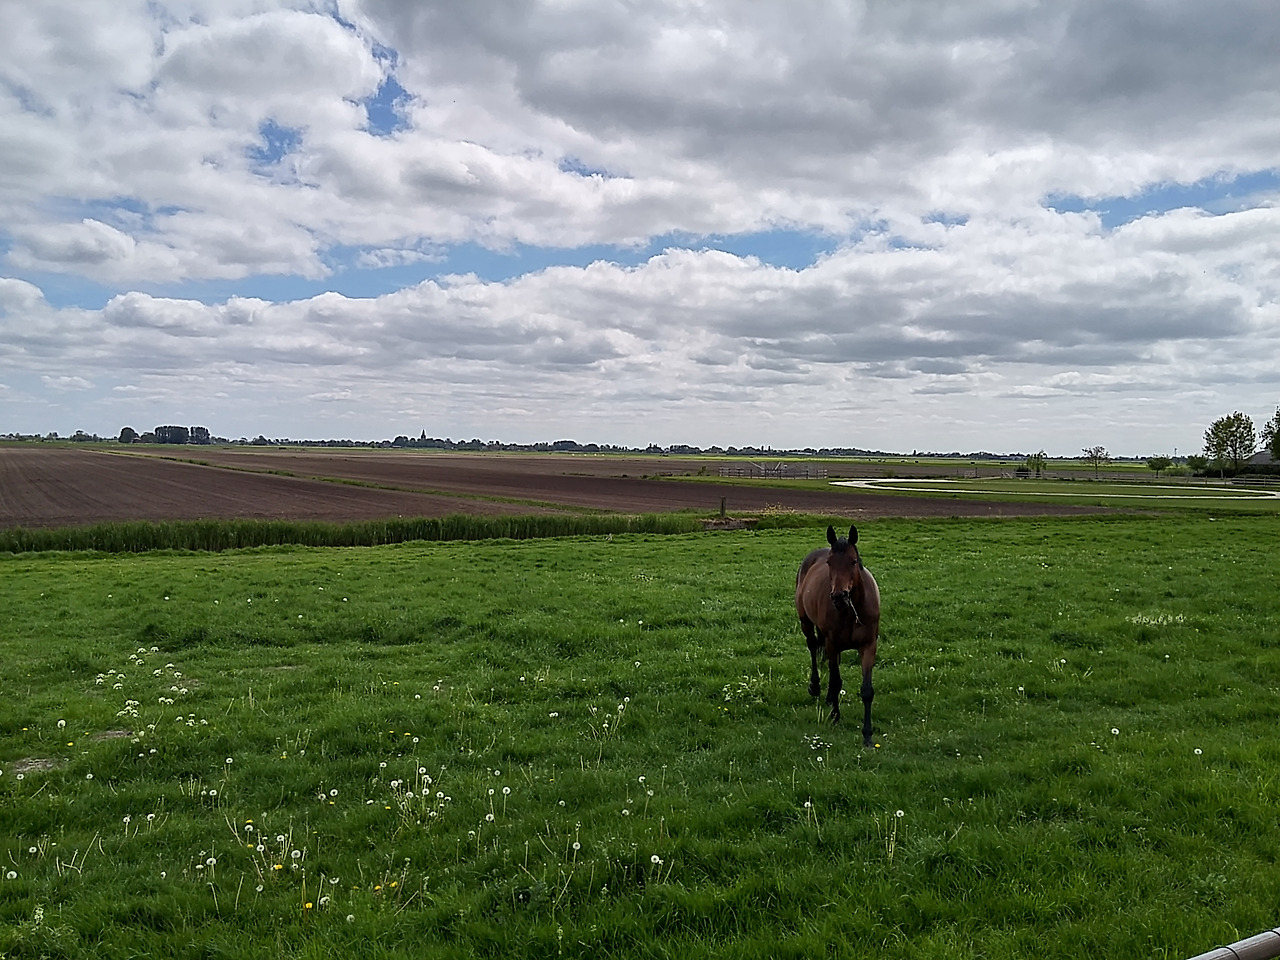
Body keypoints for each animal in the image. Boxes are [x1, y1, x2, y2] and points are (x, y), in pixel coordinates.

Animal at [795, 524, 881, 745]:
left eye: (853, 561)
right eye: (829, 563)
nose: (838, 597)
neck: (852, 610)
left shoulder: (868, 646)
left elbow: (866, 690)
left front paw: (867, 735)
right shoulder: (832, 643)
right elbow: (835, 681)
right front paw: (835, 716)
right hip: (806, 623)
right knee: (812, 647)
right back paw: (816, 688)